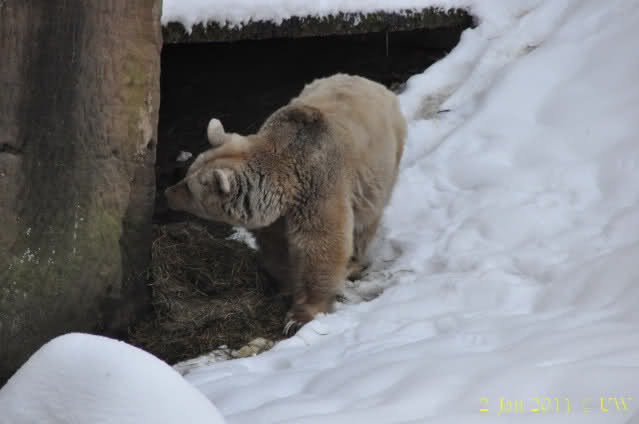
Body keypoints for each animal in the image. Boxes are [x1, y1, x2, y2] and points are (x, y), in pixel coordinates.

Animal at [165, 73, 406, 336]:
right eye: (187, 174)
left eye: (189, 187)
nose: (168, 193)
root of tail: (369, 81)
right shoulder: (273, 210)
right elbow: (276, 245)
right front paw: (284, 285)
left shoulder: (319, 186)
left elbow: (320, 244)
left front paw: (299, 316)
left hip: (382, 163)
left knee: (367, 219)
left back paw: (353, 263)